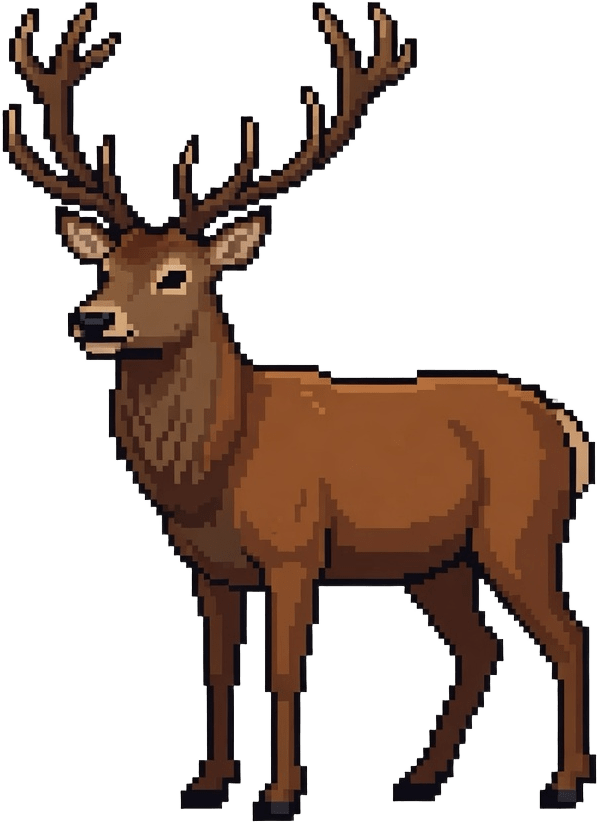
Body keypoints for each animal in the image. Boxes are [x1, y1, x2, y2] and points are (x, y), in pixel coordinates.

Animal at [3, 1, 595, 818]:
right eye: (105, 265)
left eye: (176, 275)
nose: (91, 320)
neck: (213, 467)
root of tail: (565, 424)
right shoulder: (208, 566)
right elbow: (217, 668)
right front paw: (207, 782)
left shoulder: (294, 549)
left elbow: (285, 671)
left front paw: (280, 793)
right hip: (438, 561)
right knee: (482, 647)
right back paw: (420, 777)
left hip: (522, 531)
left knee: (568, 635)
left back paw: (563, 782)